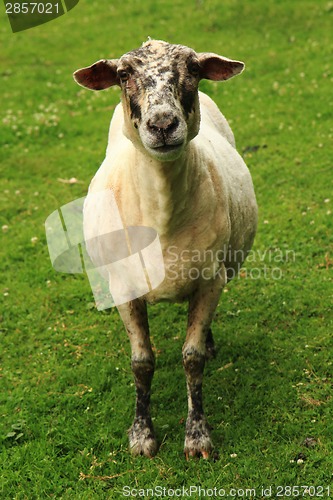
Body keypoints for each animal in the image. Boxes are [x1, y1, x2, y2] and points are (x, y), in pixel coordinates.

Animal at [74, 39, 256, 458]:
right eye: (123, 74)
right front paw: (142, 435)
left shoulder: (210, 281)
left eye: (193, 68)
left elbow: (191, 359)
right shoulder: (124, 289)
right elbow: (141, 362)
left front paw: (197, 437)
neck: (161, 216)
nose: (162, 125)